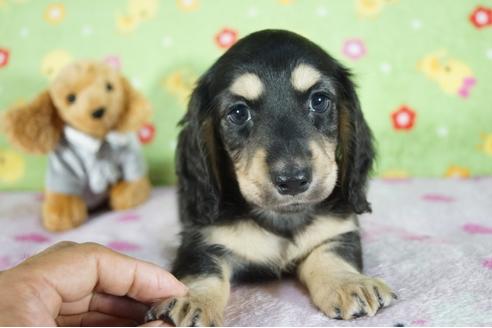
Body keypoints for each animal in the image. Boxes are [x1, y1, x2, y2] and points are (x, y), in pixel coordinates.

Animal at [146, 30, 396, 326]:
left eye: (319, 101)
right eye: (239, 112)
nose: (293, 180)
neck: (282, 219)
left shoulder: (337, 231)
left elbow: (331, 256)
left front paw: (349, 283)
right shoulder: (201, 241)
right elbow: (202, 272)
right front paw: (193, 301)